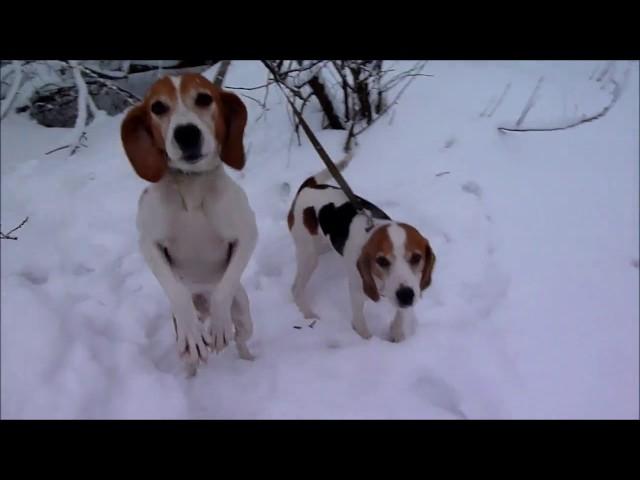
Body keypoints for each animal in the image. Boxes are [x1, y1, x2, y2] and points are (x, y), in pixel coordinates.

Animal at [121, 74, 256, 376]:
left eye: (204, 98)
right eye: (158, 107)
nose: (186, 133)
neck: (192, 186)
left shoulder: (247, 235)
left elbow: (223, 291)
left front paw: (219, 325)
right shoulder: (148, 243)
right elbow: (177, 292)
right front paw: (194, 335)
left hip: (243, 314)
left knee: (241, 338)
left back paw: (247, 359)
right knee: (190, 355)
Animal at [288, 154, 436, 342]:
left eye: (416, 257)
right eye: (381, 260)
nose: (406, 296)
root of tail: (308, 187)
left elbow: (400, 317)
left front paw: (397, 334)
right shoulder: (357, 291)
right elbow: (360, 324)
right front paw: (367, 341)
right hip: (308, 255)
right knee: (296, 288)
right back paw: (308, 315)